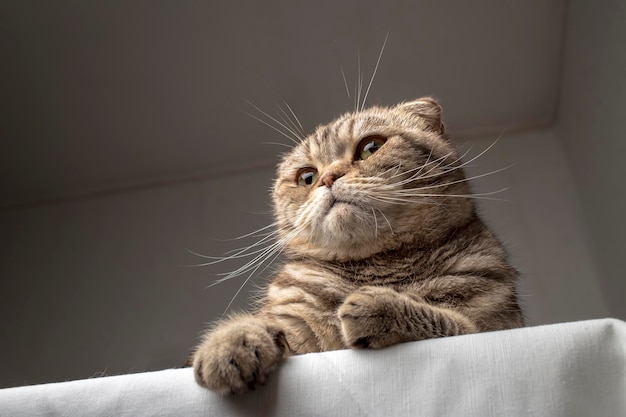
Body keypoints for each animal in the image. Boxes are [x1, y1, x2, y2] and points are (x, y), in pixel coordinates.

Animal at [190, 96, 520, 394]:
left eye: (371, 147)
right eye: (307, 177)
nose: (328, 178)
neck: (379, 267)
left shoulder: (491, 330)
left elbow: (451, 321)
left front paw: (385, 306)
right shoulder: (295, 324)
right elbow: (258, 323)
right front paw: (229, 341)